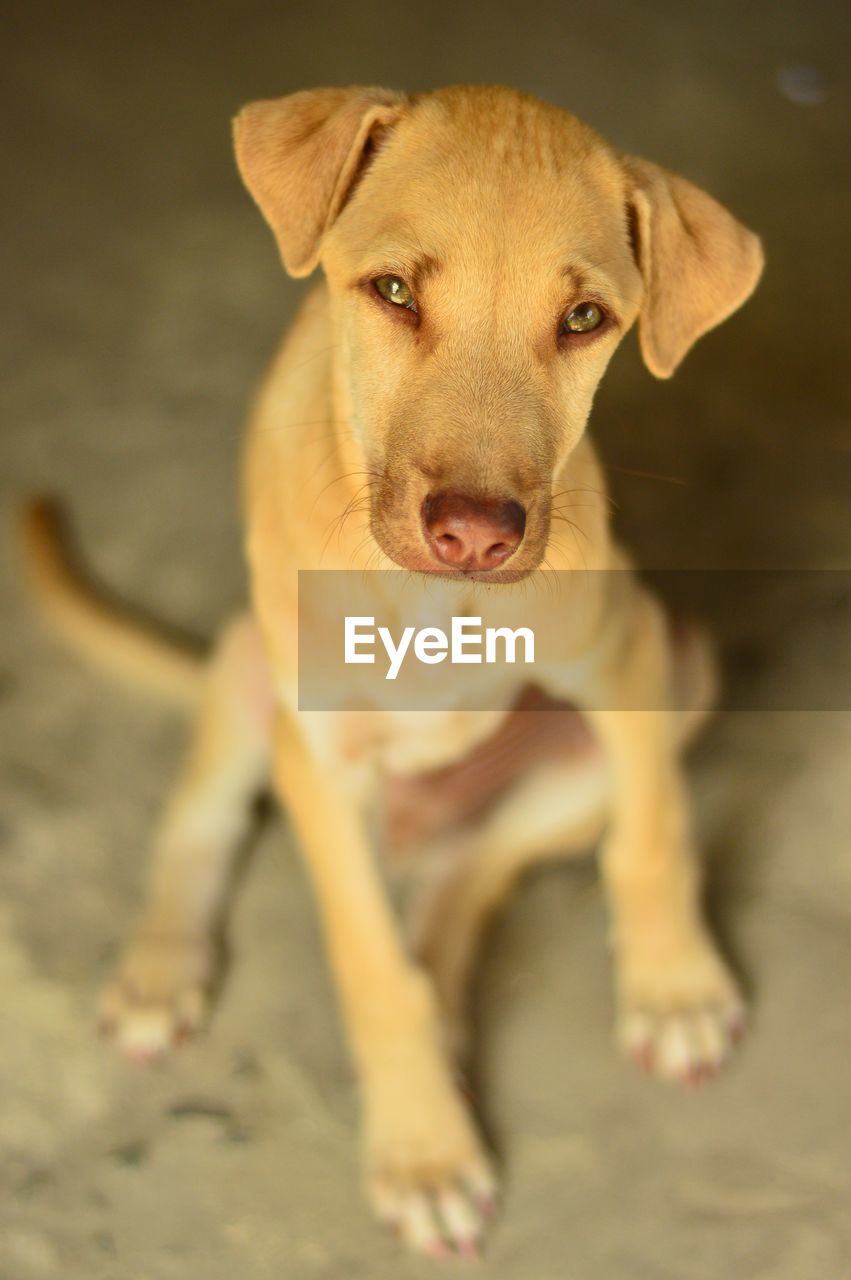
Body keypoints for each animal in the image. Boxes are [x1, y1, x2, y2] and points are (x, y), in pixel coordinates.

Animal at [23, 87, 757, 1259]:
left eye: (584, 320)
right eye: (395, 292)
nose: (475, 534)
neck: (432, 600)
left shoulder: (629, 655)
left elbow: (651, 836)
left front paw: (673, 987)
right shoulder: (319, 766)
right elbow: (370, 968)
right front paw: (421, 1152)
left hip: (670, 682)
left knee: (469, 871)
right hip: (247, 669)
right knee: (200, 821)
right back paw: (162, 964)